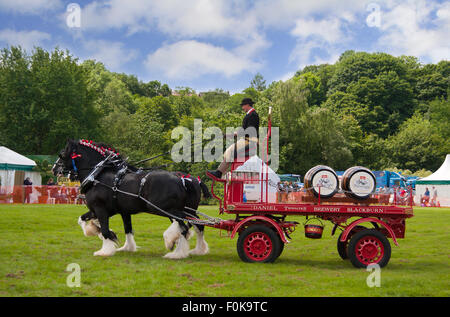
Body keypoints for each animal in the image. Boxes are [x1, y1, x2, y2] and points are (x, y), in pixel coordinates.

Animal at [54, 138, 211, 256]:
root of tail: (183, 180)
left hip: (168, 210)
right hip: (187, 210)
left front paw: (105, 250)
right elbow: (124, 228)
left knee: (184, 227)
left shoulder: (101, 209)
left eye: (62, 155)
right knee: (197, 225)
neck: (97, 175)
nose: (54, 168)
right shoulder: (119, 211)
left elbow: (105, 230)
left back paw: (176, 251)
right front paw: (124, 245)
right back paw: (197, 250)